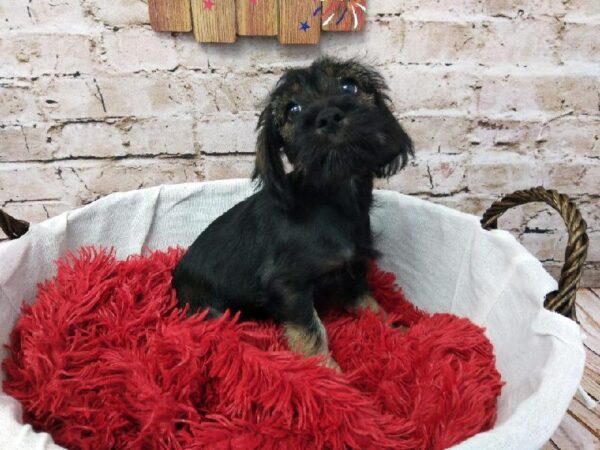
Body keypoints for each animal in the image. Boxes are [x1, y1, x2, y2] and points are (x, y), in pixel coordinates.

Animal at [171, 58, 410, 370]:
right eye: (292, 110)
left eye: (349, 86)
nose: (329, 116)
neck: (334, 196)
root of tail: (175, 276)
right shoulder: (288, 286)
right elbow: (311, 331)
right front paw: (328, 373)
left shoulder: (354, 270)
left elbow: (370, 305)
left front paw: (396, 329)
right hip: (210, 310)